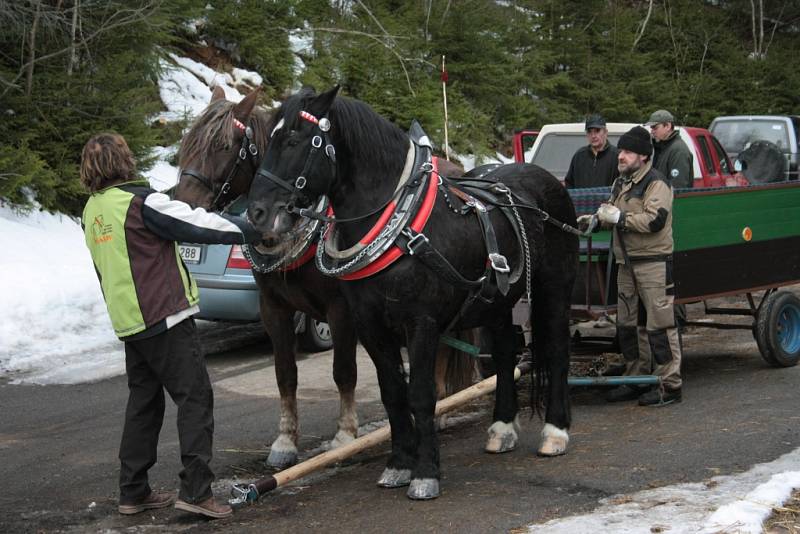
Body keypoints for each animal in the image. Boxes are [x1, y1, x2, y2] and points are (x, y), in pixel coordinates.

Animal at [247, 86, 580, 500]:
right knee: (505, 355)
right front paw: (398, 465)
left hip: (555, 289)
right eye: (266, 143)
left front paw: (425, 474)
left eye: (293, 140)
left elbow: (420, 394)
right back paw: (502, 428)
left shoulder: (420, 323)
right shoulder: (370, 326)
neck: (400, 227)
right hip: (497, 301)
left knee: (558, 351)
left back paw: (555, 433)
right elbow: (393, 393)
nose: (257, 213)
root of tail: (544, 179)